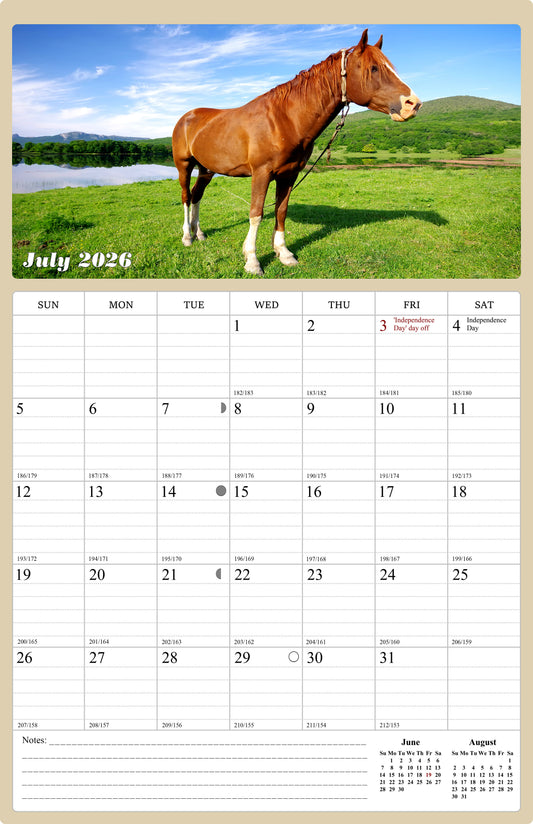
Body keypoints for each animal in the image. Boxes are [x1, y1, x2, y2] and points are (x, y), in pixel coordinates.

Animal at [172, 29, 421, 276]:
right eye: (374, 68)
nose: (413, 104)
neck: (284, 119)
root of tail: (186, 117)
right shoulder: (261, 174)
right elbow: (256, 214)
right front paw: (252, 260)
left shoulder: (288, 174)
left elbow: (281, 211)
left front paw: (283, 253)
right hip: (184, 165)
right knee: (186, 196)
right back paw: (187, 237)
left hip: (206, 169)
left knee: (197, 195)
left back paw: (199, 233)